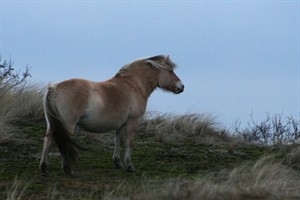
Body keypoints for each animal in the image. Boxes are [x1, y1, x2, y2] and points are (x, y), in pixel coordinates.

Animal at [38, 55, 184, 175]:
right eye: (170, 71)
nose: (181, 87)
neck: (132, 86)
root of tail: (53, 88)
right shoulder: (133, 121)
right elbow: (129, 142)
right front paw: (129, 166)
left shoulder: (120, 123)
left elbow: (117, 140)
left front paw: (118, 163)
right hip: (68, 125)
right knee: (63, 143)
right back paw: (67, 169)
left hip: (52, 125)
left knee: (48, 140)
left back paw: (44, 168)